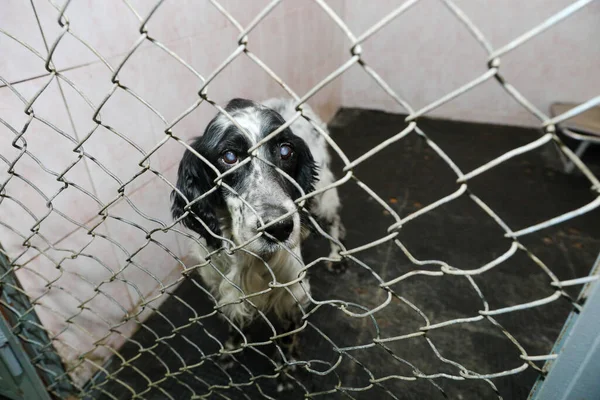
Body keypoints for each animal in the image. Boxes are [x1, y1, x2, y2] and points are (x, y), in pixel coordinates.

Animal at [169, 97, 346, 388]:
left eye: (286, 151)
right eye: (229, 157)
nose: (279, 228)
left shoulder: (292, 294)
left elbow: (286, 337)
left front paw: (285, 369)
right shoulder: (221, 287)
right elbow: (233, 322)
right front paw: (231, 350)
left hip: (323, 195)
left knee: (333, 222)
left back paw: (335, 257)